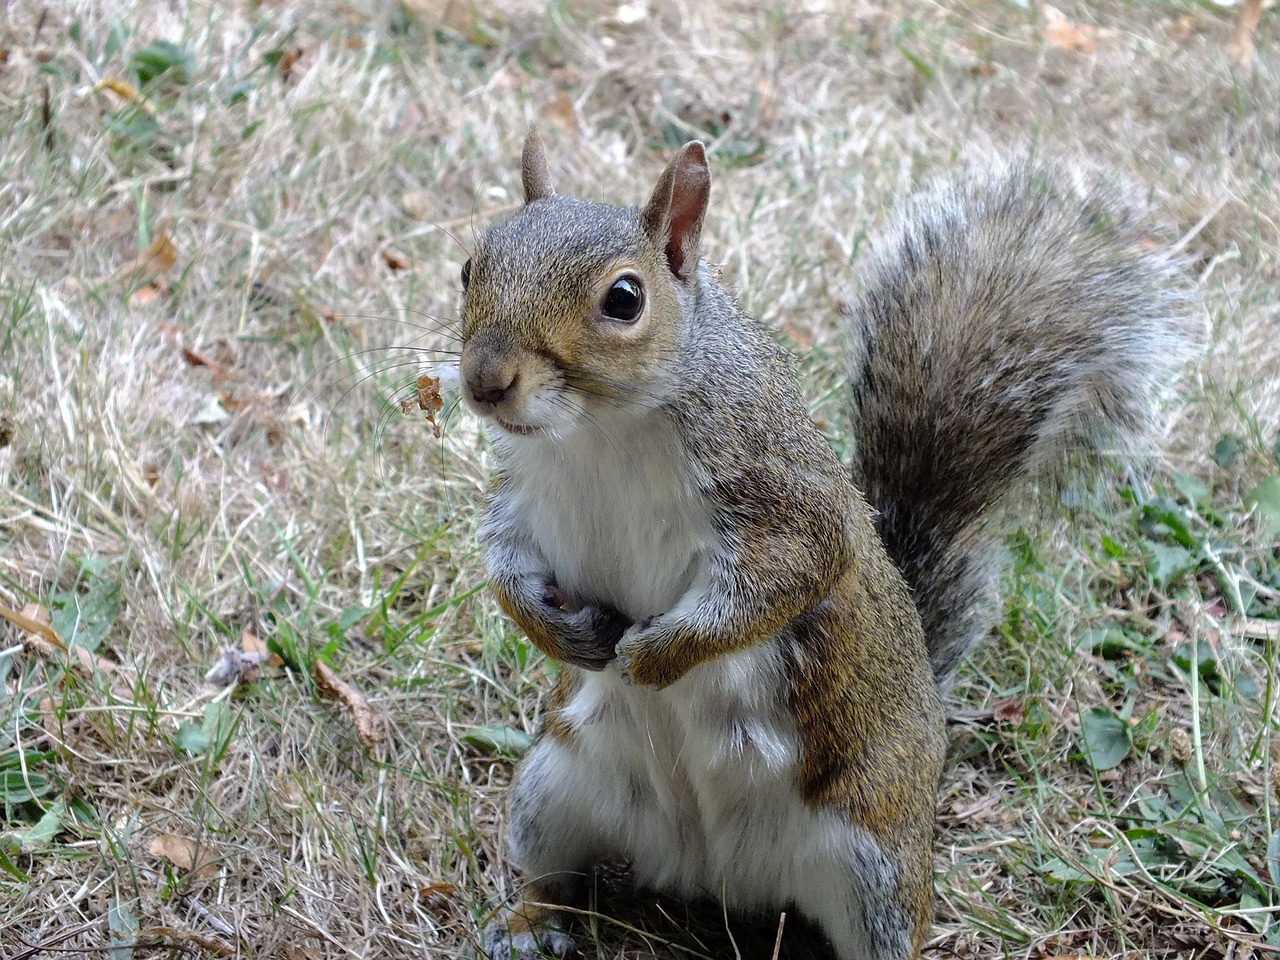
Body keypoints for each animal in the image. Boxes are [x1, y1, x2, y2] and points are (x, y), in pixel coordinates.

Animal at [455, 129, 1192, 960]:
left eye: (624, 299)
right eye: (470, 267)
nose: (485, 380)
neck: (597, 433)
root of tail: (712, 876)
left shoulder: (784, 501)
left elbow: (784, 581)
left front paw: (655, 655)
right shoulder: (524, 497)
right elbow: (505, 567)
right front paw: (556, 631)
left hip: (873, 861)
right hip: (553, 786)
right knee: (549, 871)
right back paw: (529, 923)